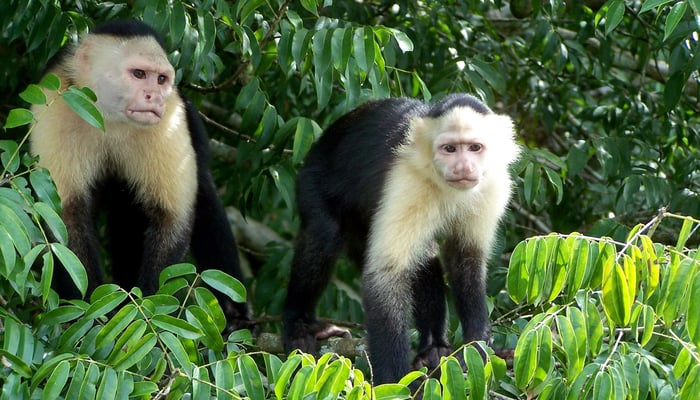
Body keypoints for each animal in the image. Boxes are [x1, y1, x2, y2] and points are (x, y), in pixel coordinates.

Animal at [29, 20, 250, 328]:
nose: (154, 97)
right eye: (139, 74)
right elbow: (65, 219)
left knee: (200, 195)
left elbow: (171, 217)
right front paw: (90, 316)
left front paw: (149, 314)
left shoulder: (170, 116)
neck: (108, 116)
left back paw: (234, 314)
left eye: (161, 79)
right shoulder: (56, 104)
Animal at [282, 94, 520, 384]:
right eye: (449, 149)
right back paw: (298, 322)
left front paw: (479, 347)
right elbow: (388, 274)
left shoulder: (493, 184)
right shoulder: (407, 179)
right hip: (312, 179)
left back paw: (432, 347)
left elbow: (465, 258)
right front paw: (393, 381)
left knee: (425, 255)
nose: (463, 166)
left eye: (475, 147)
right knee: (324, 233)